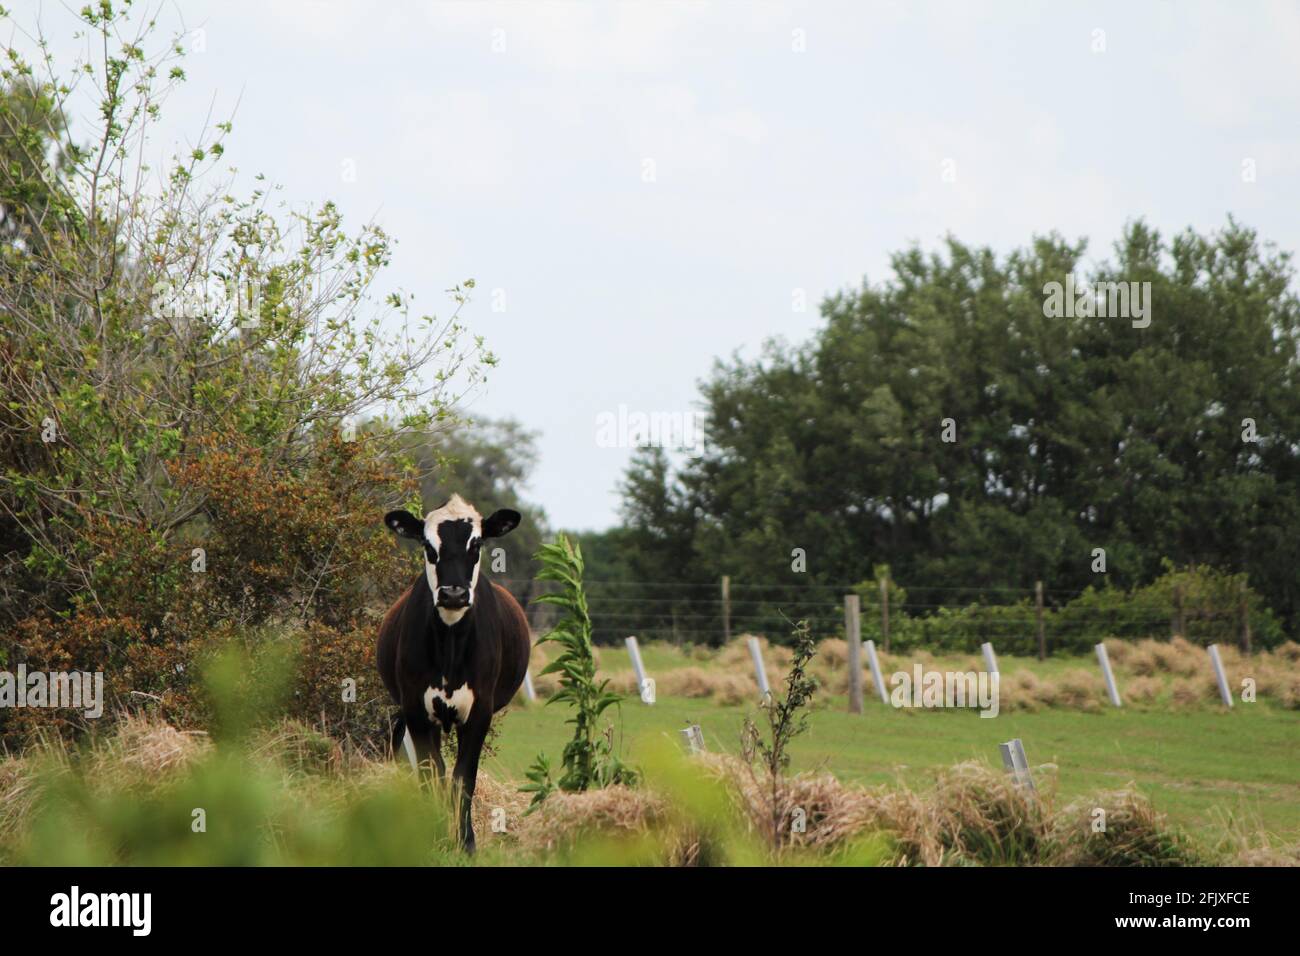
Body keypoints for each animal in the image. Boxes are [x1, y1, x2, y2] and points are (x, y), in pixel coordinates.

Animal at [377, 494, 530, 852]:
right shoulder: (416, 710)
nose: (454, 593)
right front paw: (433, 836)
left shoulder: (479, 712)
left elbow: (464, 778)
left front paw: (466, 843)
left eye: (477, 543)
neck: (449, 645)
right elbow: (431, 774)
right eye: (427, 545)